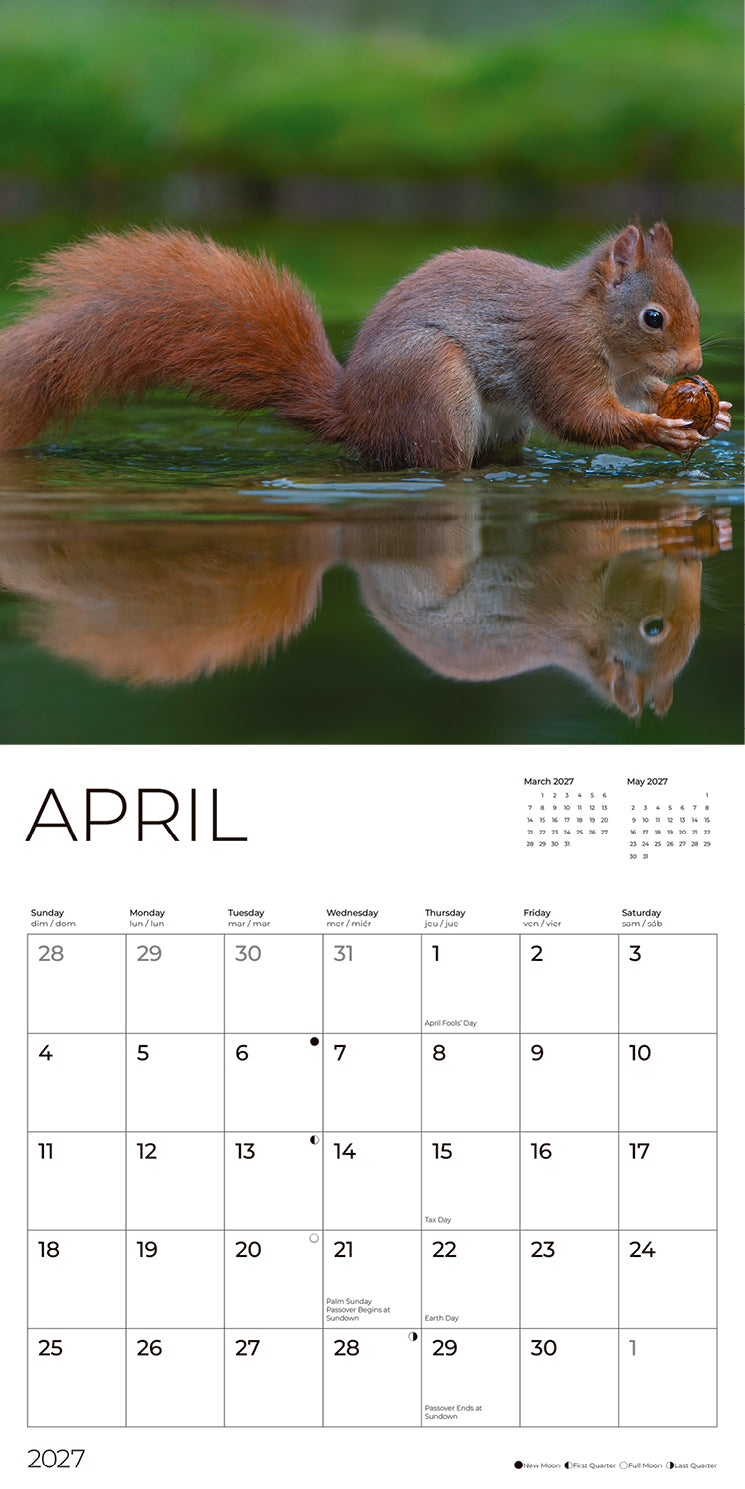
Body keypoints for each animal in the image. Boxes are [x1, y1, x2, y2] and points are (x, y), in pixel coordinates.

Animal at [0, 221, 732, 468]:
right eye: (654, 317)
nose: (695, 363)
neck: (590, 320)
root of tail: (354, 411)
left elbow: (635, 394)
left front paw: (708, 410)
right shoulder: (555, 354)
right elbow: (582, 416)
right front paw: (657, 429)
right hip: (432, 387)